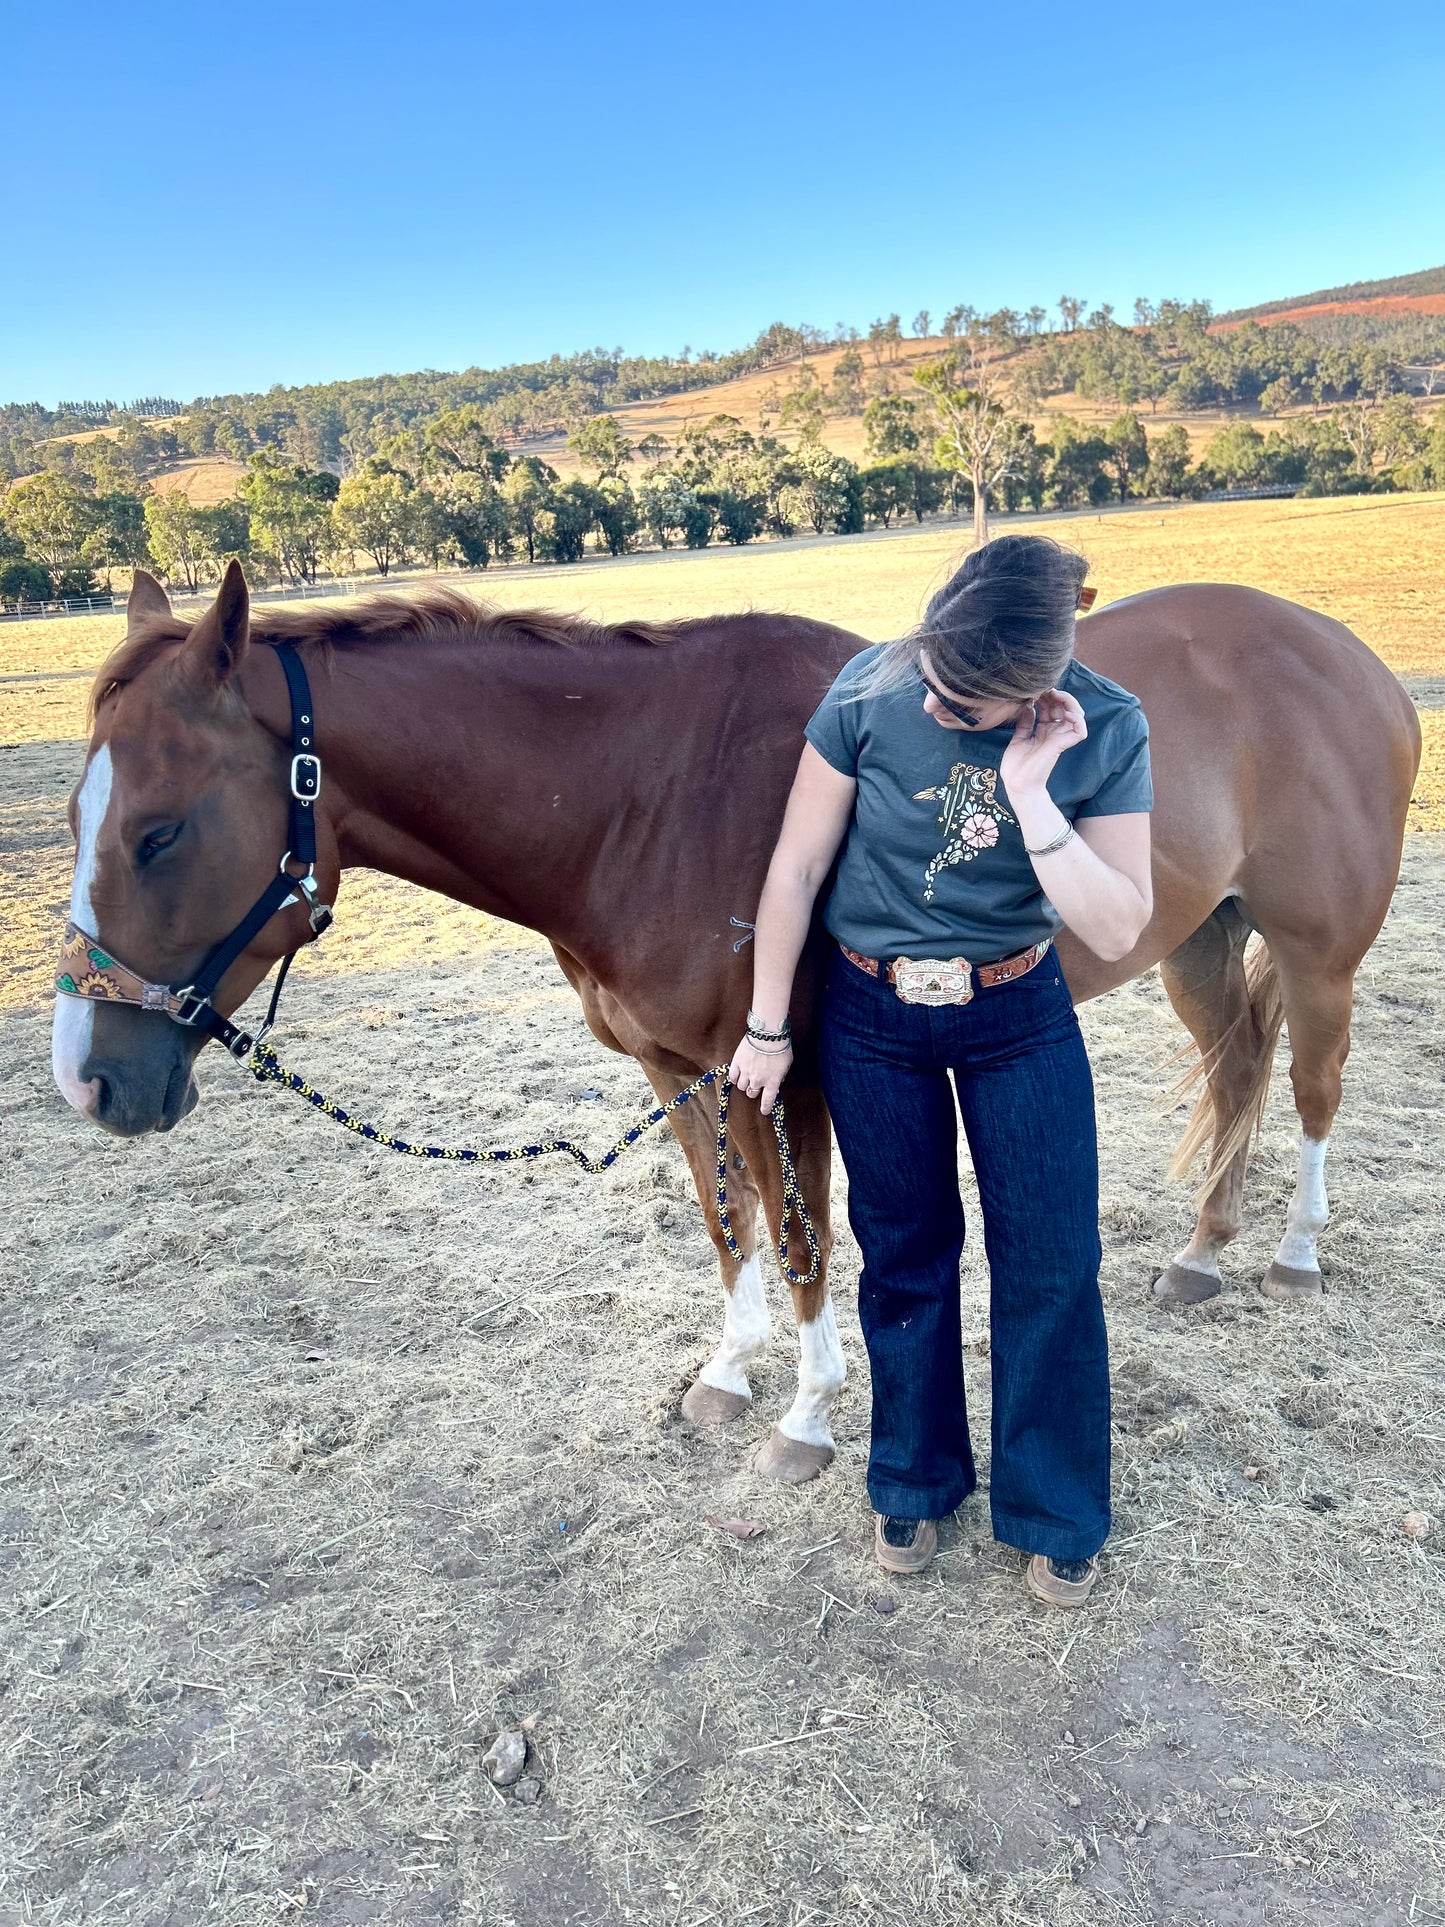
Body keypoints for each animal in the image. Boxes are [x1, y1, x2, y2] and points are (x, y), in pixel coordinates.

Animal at [51, 562, 1418, 1479]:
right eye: (76, 816)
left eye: (159, 831)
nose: (88, 1081)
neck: (644, 795)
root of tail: (1346, 652)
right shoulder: (676, 1070)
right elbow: (727, 1224)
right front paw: (725, 1372)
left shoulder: (783, 1073)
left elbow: (808, 1239)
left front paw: (806, 1418)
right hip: (1195, 937)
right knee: (1237, 1069)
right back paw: (1202, 1250)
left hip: (1315, 955)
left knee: (1312, 1085)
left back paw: (1292, 1251)